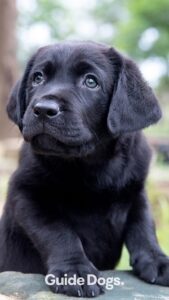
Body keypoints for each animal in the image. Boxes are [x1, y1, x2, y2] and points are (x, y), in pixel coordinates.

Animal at [0, 41, 169, 296]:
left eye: (91, 82)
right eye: (37, 78)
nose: (43, 109)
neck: (90, 164)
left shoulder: (136, 190)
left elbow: (143, 224)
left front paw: (157, 260)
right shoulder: (26, 193)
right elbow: (58, 231)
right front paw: (75, 272)